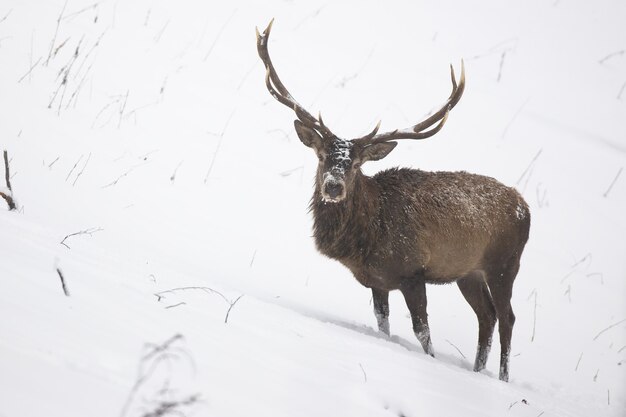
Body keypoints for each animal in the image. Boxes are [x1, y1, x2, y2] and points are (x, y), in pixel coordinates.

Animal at [256, 21, 528, 382]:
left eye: (355, 164)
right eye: (322, 155)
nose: (333, 187)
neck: (369, 237)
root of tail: (526, 207)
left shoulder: (413, 272)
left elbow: (423, 332)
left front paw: (429, 361)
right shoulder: (379, 281)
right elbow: (383, 325)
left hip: (505, 263)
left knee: (507, 317)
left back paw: (502, 378)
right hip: (468, 272)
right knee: (487, 316)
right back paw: (477, 369)